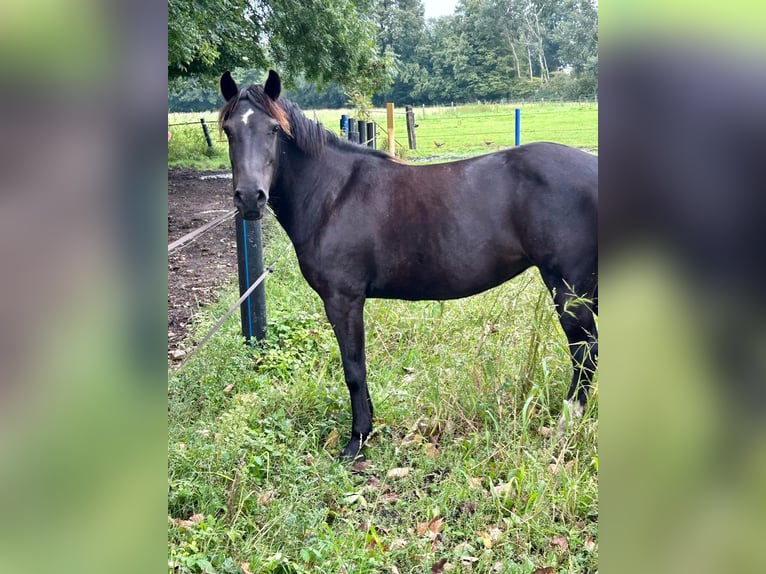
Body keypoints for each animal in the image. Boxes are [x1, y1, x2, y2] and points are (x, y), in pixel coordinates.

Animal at [219, 71, 596, 460]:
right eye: (229, 130)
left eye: (273, 129)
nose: (250, 198)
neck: (333, 194)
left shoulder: (343, 300)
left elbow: (354, 368)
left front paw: (357, 441)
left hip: (569, 290)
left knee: (585, 353)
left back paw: (565, 426)